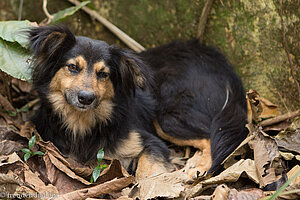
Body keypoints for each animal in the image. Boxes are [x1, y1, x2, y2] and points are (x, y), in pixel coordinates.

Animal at [28, 25, 248, 180]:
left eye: (104, 74)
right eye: (72, 67)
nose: (86, 98)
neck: (82, 122)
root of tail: (220, 63)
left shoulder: (150, 142)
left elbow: (147, 171)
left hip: (167, 116)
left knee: (212, 135)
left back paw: (199, 167)